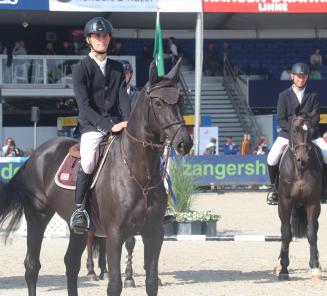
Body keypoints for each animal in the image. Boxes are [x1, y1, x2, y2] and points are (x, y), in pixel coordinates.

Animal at [0, 59, 192, 294]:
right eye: (157, 103)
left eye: (180, 101)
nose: (184, 143)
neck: (139, 174)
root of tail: (34, 155)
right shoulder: (115, 234)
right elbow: (115, 284)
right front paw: (123, 278)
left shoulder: (154, 233)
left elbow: (152, 282)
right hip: (38, 216)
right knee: (32, 266)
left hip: (78, 228)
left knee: (71, 263)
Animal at [274, 110, 326, 280]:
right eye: (294, 130)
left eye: (310, 131)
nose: (302, 160)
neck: (300, 171)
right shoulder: (285, 203)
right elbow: (286, 234)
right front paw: (283, 269)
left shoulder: (313, 203)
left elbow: (312, 233)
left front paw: (315, 268)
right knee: (284, 229)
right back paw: (278, 264)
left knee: (314, 228)